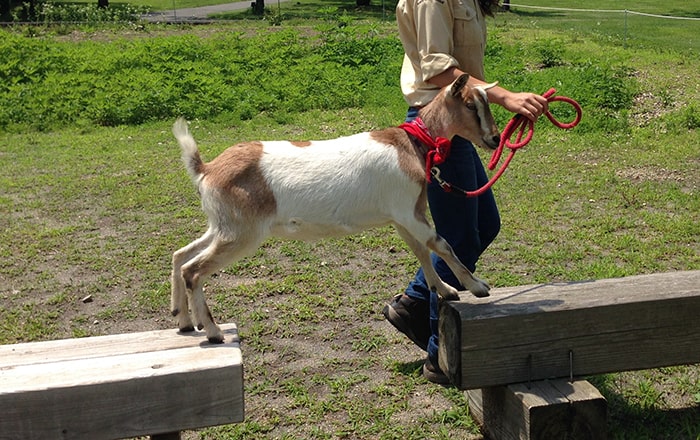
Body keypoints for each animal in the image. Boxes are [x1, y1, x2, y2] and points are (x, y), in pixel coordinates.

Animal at [174, 74, 504, 344]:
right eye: (471, 105)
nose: (495, 138)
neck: (411, 145)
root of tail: (206, 169)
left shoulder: (402, 217)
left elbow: (421, 251)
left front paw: (445, 290)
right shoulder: (407, 211)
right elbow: (441, 243)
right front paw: (476, 286)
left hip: (222, 226)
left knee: (180, 255)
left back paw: (184, 320)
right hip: (242, 232)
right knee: (194, 270)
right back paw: (213, 331)